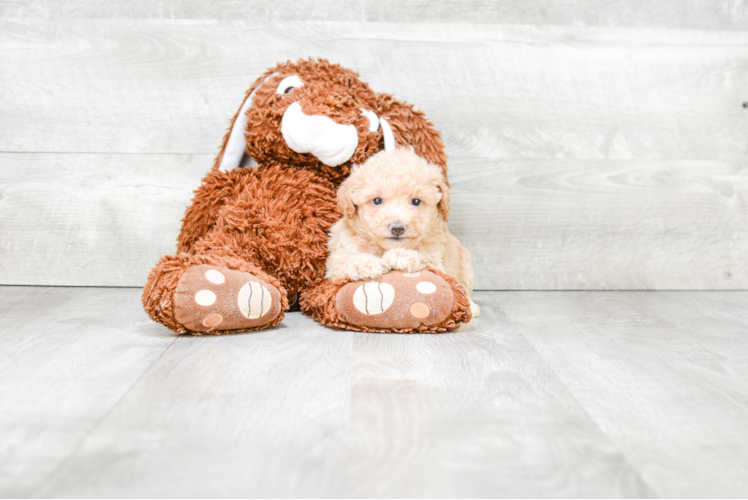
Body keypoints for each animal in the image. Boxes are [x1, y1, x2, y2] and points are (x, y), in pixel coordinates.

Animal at [326, 146, 480, 316]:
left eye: (416, 201)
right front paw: (365, 264)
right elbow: (344, 261)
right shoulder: (335, 263)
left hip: (464, 263)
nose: (397, 228)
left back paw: (471, 306)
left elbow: (425, 259)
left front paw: (401, 255)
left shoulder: (438, 260)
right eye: (377, 200)